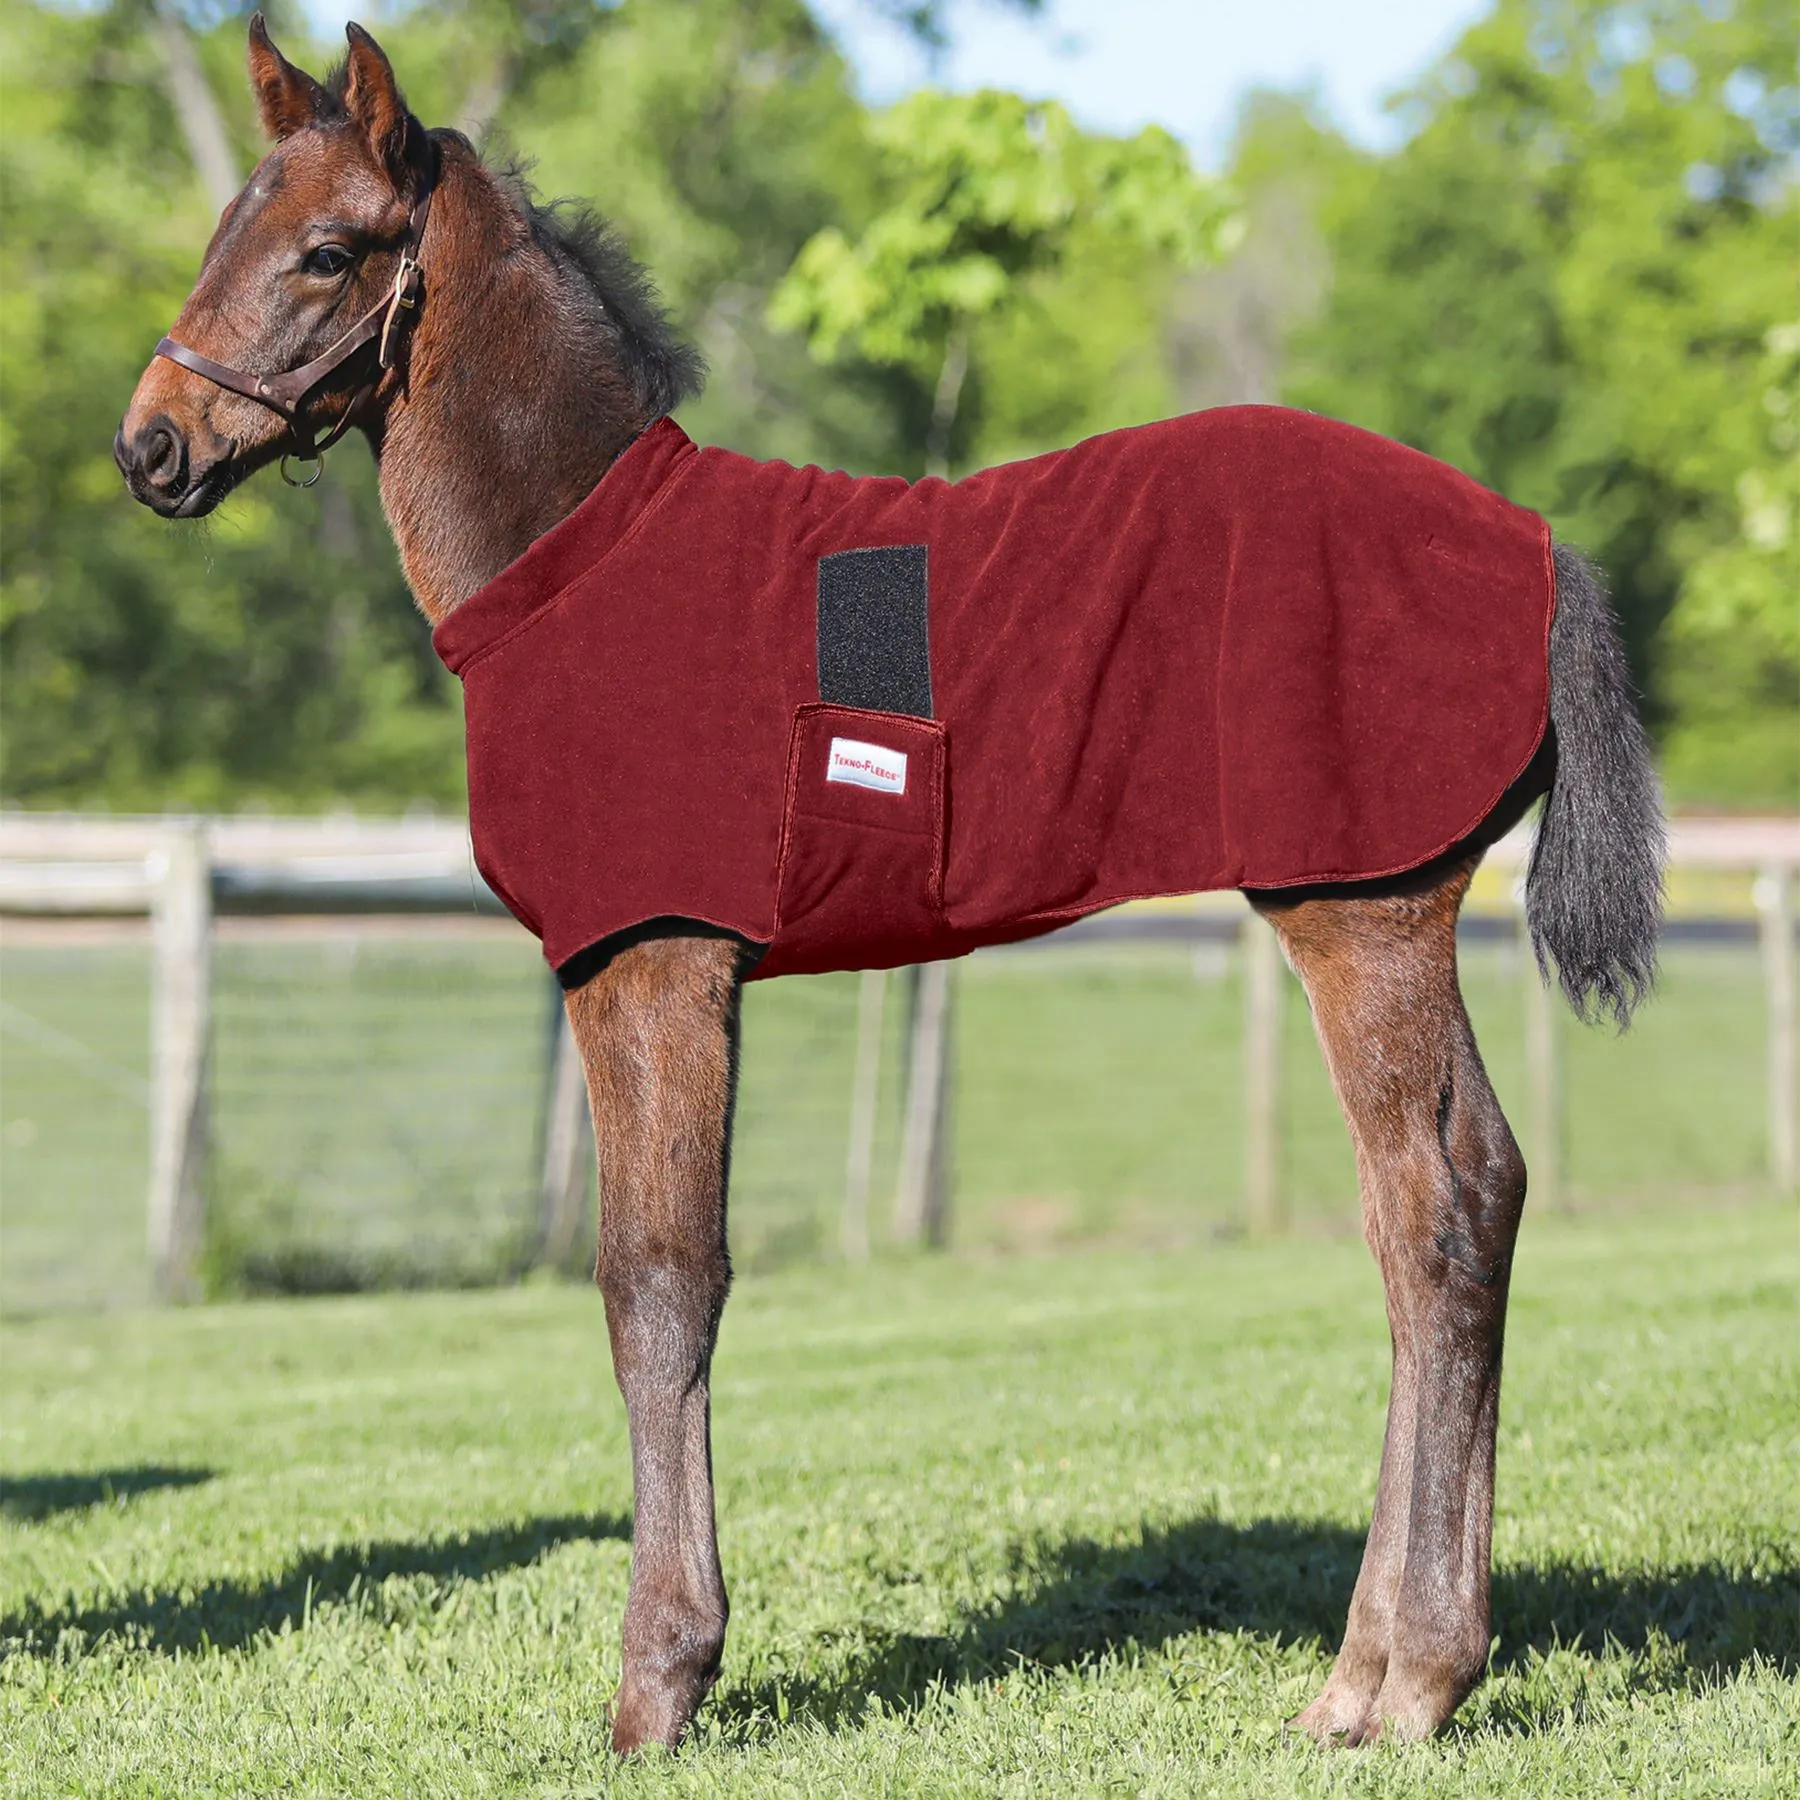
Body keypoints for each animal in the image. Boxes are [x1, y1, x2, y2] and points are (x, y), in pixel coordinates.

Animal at [117, 17, 1664, 1755]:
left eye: (327, 250)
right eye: (222, 231)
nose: (149, 446)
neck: (576, 564)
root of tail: (1535, 545)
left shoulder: (655, 959)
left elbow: (659, 1285)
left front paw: (660, 1684)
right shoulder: (624, 968)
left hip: (1362, 907)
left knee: (1437, 1209)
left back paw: (1399, 1677)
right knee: (1471, 1194)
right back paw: (1395, 1669)